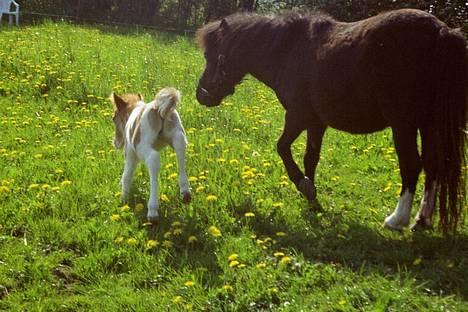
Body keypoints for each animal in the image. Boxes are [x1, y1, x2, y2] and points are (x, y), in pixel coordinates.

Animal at [194, 8, 464, 233]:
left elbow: (282, 148)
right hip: (428, 124)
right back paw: (422, 219)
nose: (201, 94)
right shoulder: (316, 122)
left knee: (412, 165)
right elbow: (310, 157)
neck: (288, 50)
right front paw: (311, 197)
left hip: (404, 125)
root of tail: (441, 31)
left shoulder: (297, 116)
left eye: (210, 55)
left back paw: (397, 219)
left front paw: (303, 186)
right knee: (433, 165)